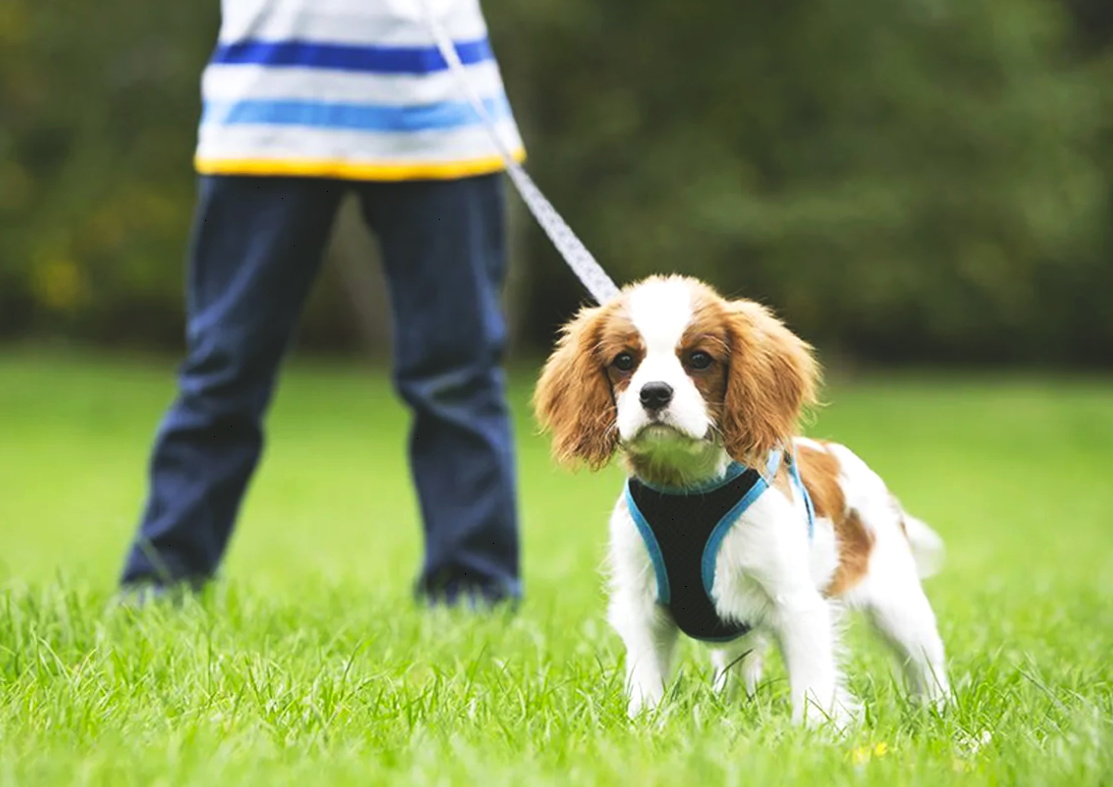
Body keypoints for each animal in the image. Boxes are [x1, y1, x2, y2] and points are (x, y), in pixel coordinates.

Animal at [534, 276, 952, 725]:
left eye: (699, 360)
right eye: (625, 361)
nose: (654, 393)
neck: (688, 490)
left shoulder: (797, 604)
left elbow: (813, 683)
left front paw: (816, 732)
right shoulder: (642, 605)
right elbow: (646, 678)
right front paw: (647, 722)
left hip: (898, 603)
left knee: (926, 662)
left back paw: (941, 712)